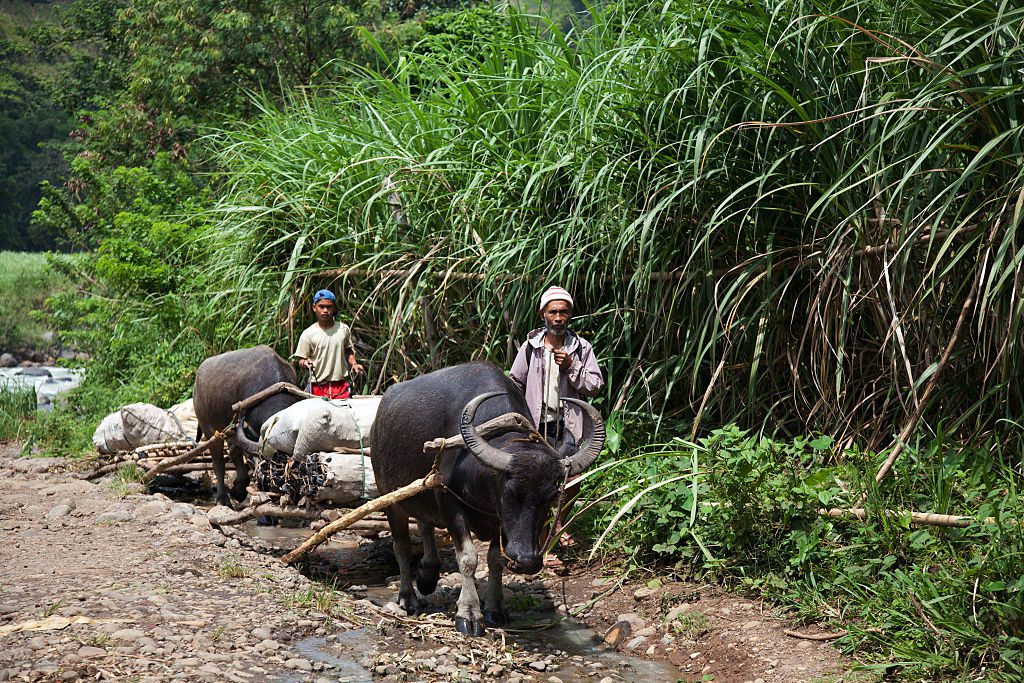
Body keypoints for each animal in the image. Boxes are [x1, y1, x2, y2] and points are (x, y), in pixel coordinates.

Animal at [192, 348, 299, 507]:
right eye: (268, 466)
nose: (278, 490)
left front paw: (239, 490)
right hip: (208, 428)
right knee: (218, 462)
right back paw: (223, 499)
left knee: (233, 451)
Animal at [372, 362, 602, 634]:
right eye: (510, 493)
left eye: (551, 496)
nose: (527, 560)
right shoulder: (448, 500)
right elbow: (468, 557)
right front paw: (469, 613)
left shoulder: (498, 519)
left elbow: (494, 560)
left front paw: (495, 608)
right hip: (390, 499)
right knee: (402, 546)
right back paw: (408, 598)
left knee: (424, 523)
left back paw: (428, 574)